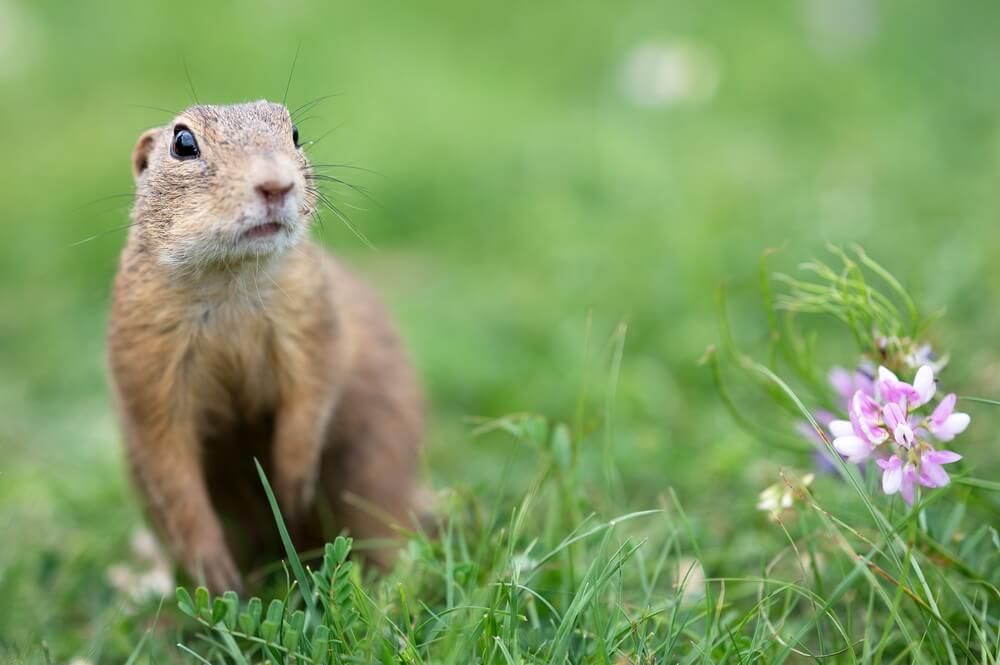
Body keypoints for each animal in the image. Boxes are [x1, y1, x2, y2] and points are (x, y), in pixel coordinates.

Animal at [106, 100, 426, 592]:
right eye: (183, 142)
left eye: (293, 133)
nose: (276, 184)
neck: (231, 281)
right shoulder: (144, 350)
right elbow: (168, 460)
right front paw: (214, 568)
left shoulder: (312, 312)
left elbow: (313, 389)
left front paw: (291, 482)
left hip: (376, 460)